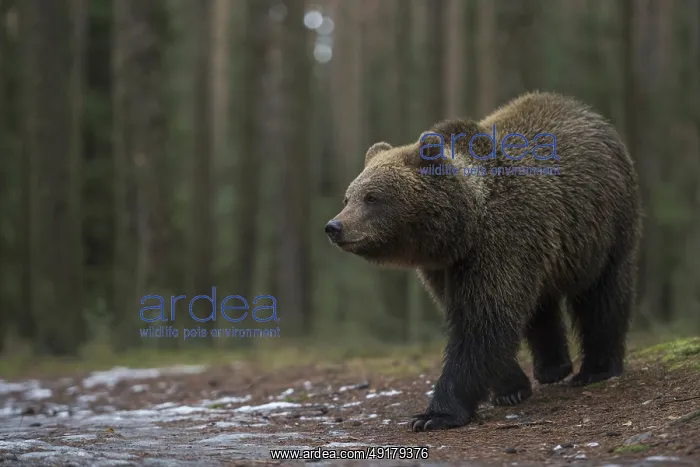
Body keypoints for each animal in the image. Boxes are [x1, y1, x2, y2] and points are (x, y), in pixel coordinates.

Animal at [324, 91, 642, 432]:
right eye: (348, 197)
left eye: (372, 197)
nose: (334, 227)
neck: (463, 229)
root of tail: (587, 112)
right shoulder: (445, 268)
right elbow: (484, 319)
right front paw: (510, 388)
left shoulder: (500, 243)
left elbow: (482, 322)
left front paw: (434, 415)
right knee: (540, 303)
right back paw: (552, 367)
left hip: (604, 225)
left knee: (603, 294)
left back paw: (596, 368)